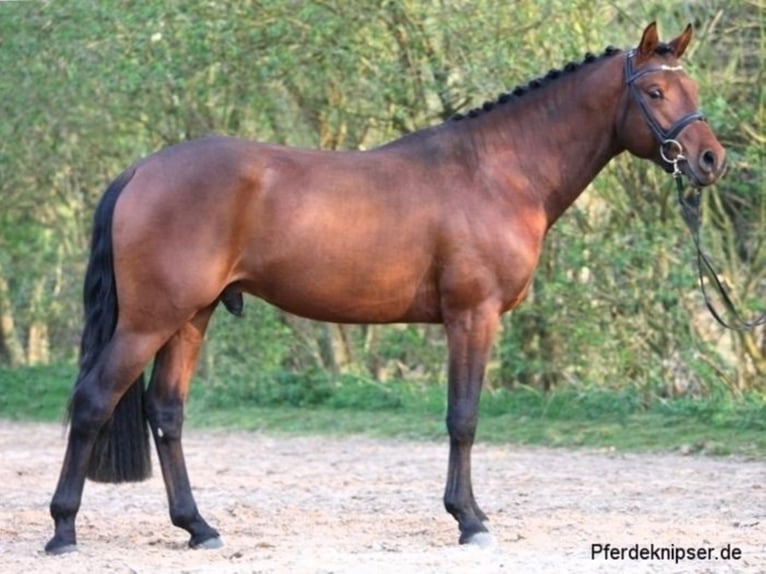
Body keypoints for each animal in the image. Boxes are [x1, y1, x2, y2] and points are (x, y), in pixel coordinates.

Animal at [46, 21, 728, 552]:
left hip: (192, 316)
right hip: (149, 321)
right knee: (93, 400)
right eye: (655, 89)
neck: (498, 171)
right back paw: (63, 530)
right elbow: (463, 417)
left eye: (693, 88)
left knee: (166, 412)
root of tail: (141, 170)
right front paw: (469, 520)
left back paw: (198, 527)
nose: (711, 161)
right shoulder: (472, 316)